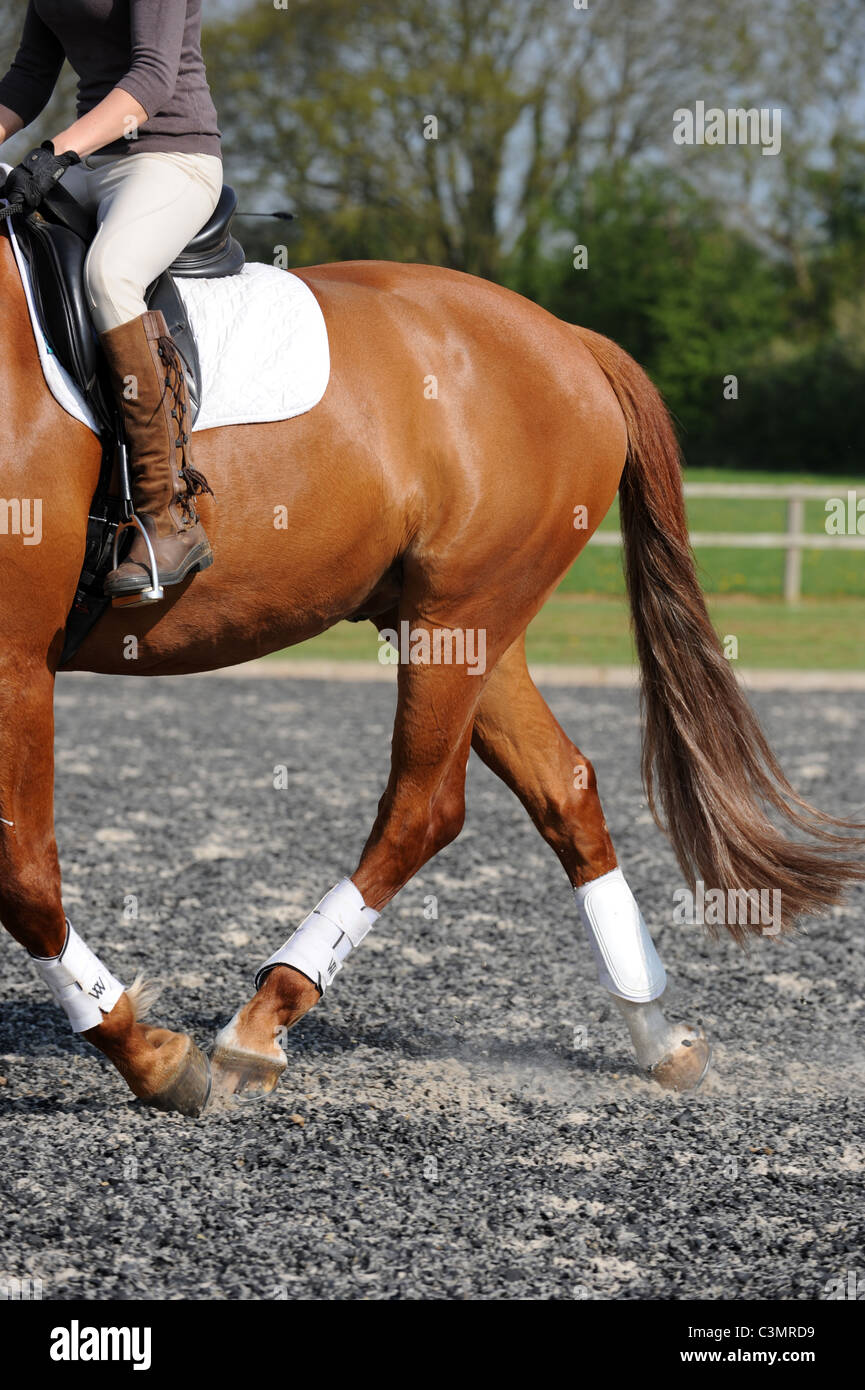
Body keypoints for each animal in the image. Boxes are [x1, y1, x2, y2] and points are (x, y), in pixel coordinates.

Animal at [0, 230, 862, 1117]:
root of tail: (565, 339)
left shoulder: (17, 660)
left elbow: (23, 877)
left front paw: (147, 1057)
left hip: (457, 618)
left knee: (424, 808)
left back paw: (263, 1021)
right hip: (462, 628)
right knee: (563, 787)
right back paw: (656, 1034)